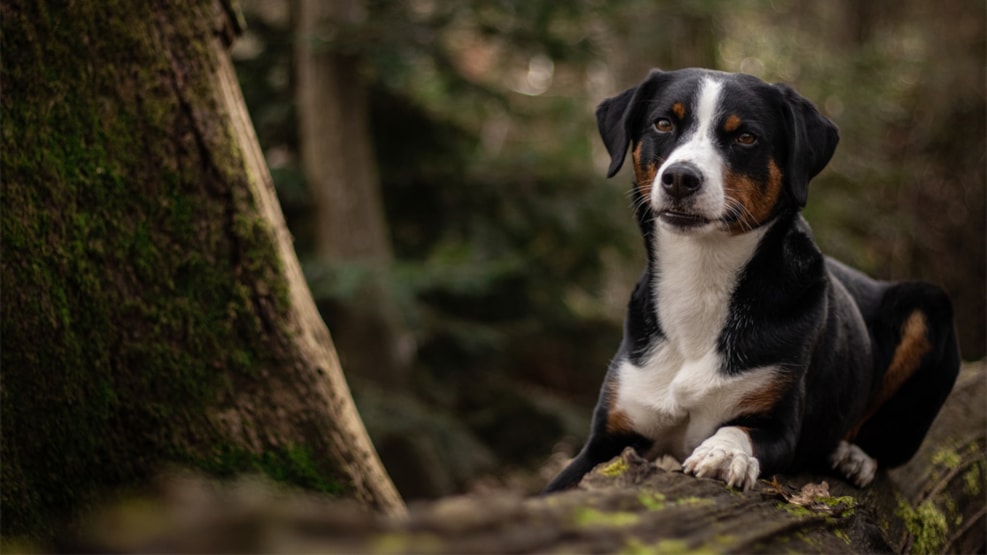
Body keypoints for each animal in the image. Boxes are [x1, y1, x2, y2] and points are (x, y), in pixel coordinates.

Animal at [544, 68, 960, 496]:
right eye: (663, 124)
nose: (680, 178)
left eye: (746, 137)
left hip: (928, 305)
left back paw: (852, 456)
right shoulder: (608, 438)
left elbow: (737, 429)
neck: (701, 279)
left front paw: (724, 454)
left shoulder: (779, 426)